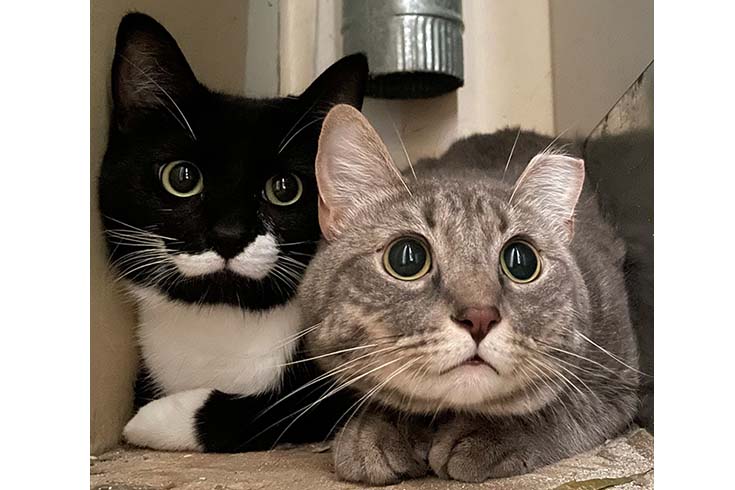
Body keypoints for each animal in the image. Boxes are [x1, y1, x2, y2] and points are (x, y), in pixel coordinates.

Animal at [99, 12, 368, 452]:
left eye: (284, 188)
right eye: (182, 177)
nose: (229, 235)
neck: (223, 314)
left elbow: (282, 406)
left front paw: (152, 418)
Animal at [296, 105, 640, 484]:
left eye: (521, 262)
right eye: (406, 258)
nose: (479, 317)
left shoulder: (617, 382)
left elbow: (561, 407)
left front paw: (487, 435)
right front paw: (375, 428)